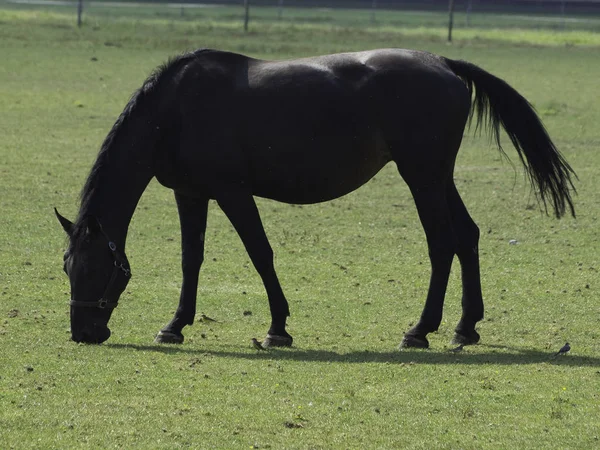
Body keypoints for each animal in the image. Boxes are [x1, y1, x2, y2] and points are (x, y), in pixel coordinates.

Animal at [56, 46, 576, 348]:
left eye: (96, 268)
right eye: (67, 267)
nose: (83, 333)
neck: (176, 107)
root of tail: (445, 65)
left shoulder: (232, 192)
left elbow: (260, 253)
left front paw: (277, 328)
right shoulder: (191, 194)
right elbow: (191, 259)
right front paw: (175, 325)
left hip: (422, 177)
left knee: (442, 242)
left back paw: (420, 330)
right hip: (437, 177)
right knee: (466, 236)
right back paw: (465, 327)